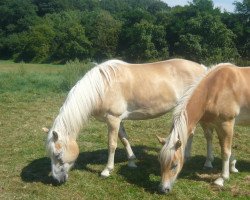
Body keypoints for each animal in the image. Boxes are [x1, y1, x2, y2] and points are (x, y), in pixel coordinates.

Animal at [44, 57, 207, 183]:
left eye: (57, 155)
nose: (56, 180)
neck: (102, 87)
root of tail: (202, 68)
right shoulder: (119, 121)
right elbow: (124, 140)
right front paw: (132, 162)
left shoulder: (113, 119)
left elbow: (112, 144)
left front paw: (107, 170)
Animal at [158, 63, 250, 194]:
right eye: (160, 162)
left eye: (174, 165)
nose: (163, 189)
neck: (215, 89)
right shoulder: (208, 123)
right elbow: (210, 140)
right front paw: (213, 163)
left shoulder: (226, 123)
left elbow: (225, 151)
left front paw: (222, 179)